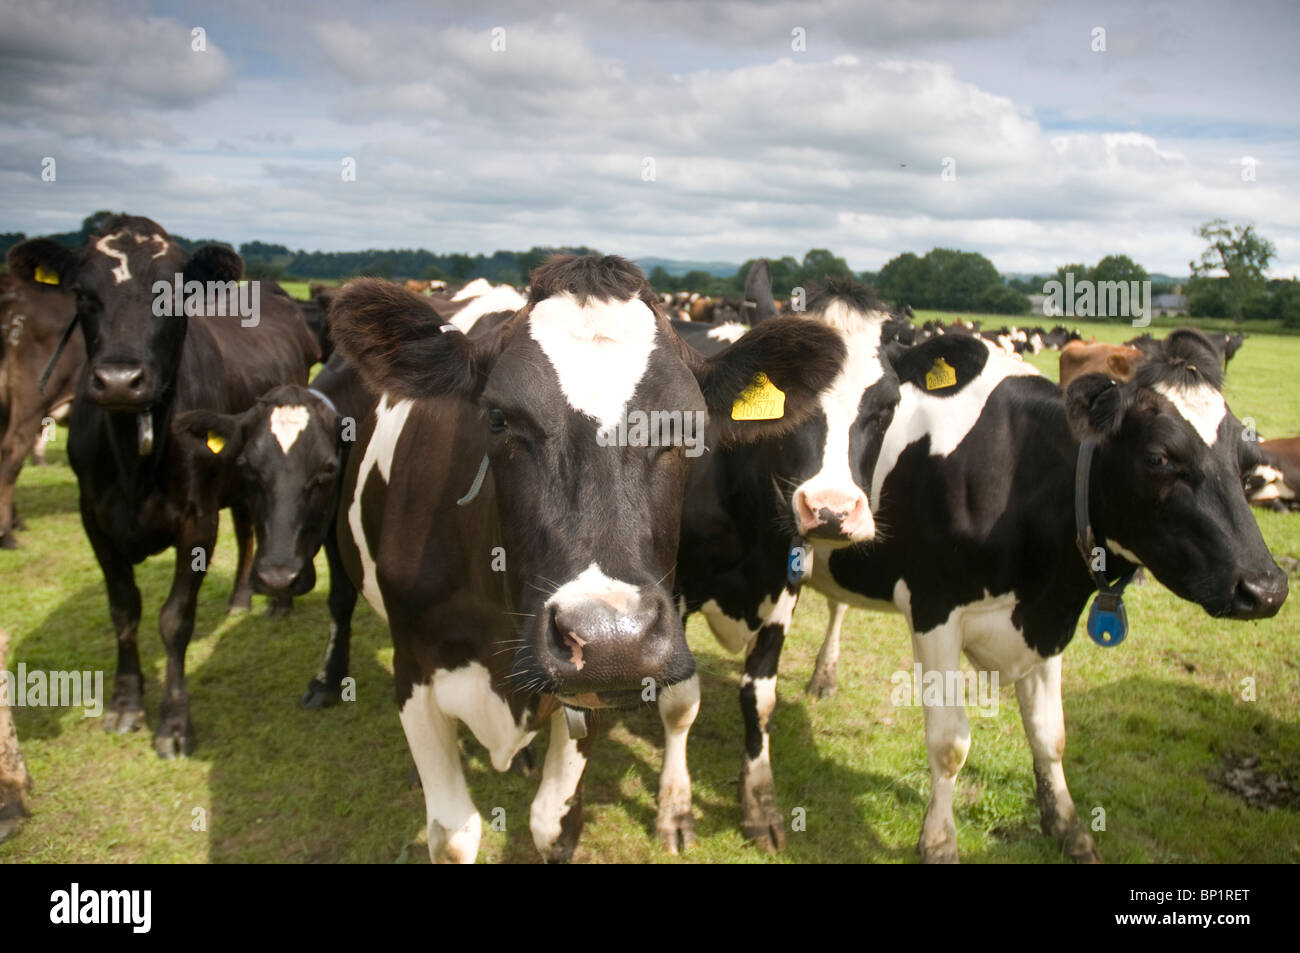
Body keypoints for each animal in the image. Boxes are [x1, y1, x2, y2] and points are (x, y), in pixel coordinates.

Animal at [321, 253, 845, 862]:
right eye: (497, 418)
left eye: (690, 427)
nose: (612, 639)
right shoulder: (415, 672)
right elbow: (453, 834)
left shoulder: (592, 692)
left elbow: (553, 823)